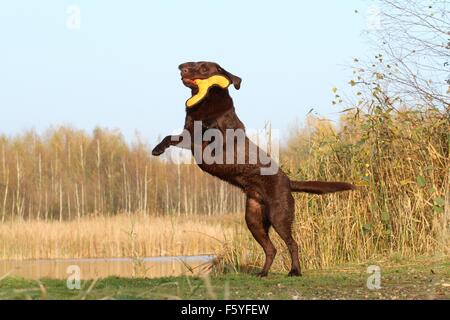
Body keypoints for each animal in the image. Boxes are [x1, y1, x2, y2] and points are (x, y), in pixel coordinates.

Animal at [153, 61, 356, 276]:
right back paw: (263, 273)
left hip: (279, 215)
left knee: (292, 244)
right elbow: (170, 137)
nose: (181, 67)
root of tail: (288, 181)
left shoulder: (216, 136)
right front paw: (157, 149)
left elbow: (210, 129)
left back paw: (294, 271)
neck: (206, 101)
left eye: (203, 68)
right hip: (253, 219)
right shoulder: (188, 134)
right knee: (271, 248)